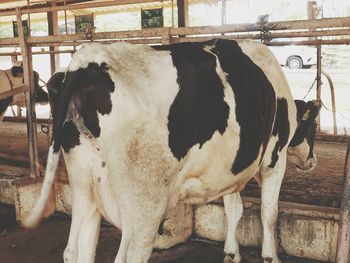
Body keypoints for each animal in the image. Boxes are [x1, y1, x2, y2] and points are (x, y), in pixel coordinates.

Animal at [23, 39, 320, 263]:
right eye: (313, 126)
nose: (312, 161)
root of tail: (86, 61)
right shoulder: (274, 160)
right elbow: (269, 213)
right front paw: (270, 256)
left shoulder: (229, 170)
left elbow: (234, 209)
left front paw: (231, 252)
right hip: (145, 204)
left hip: (85, 185)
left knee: (74, 250)